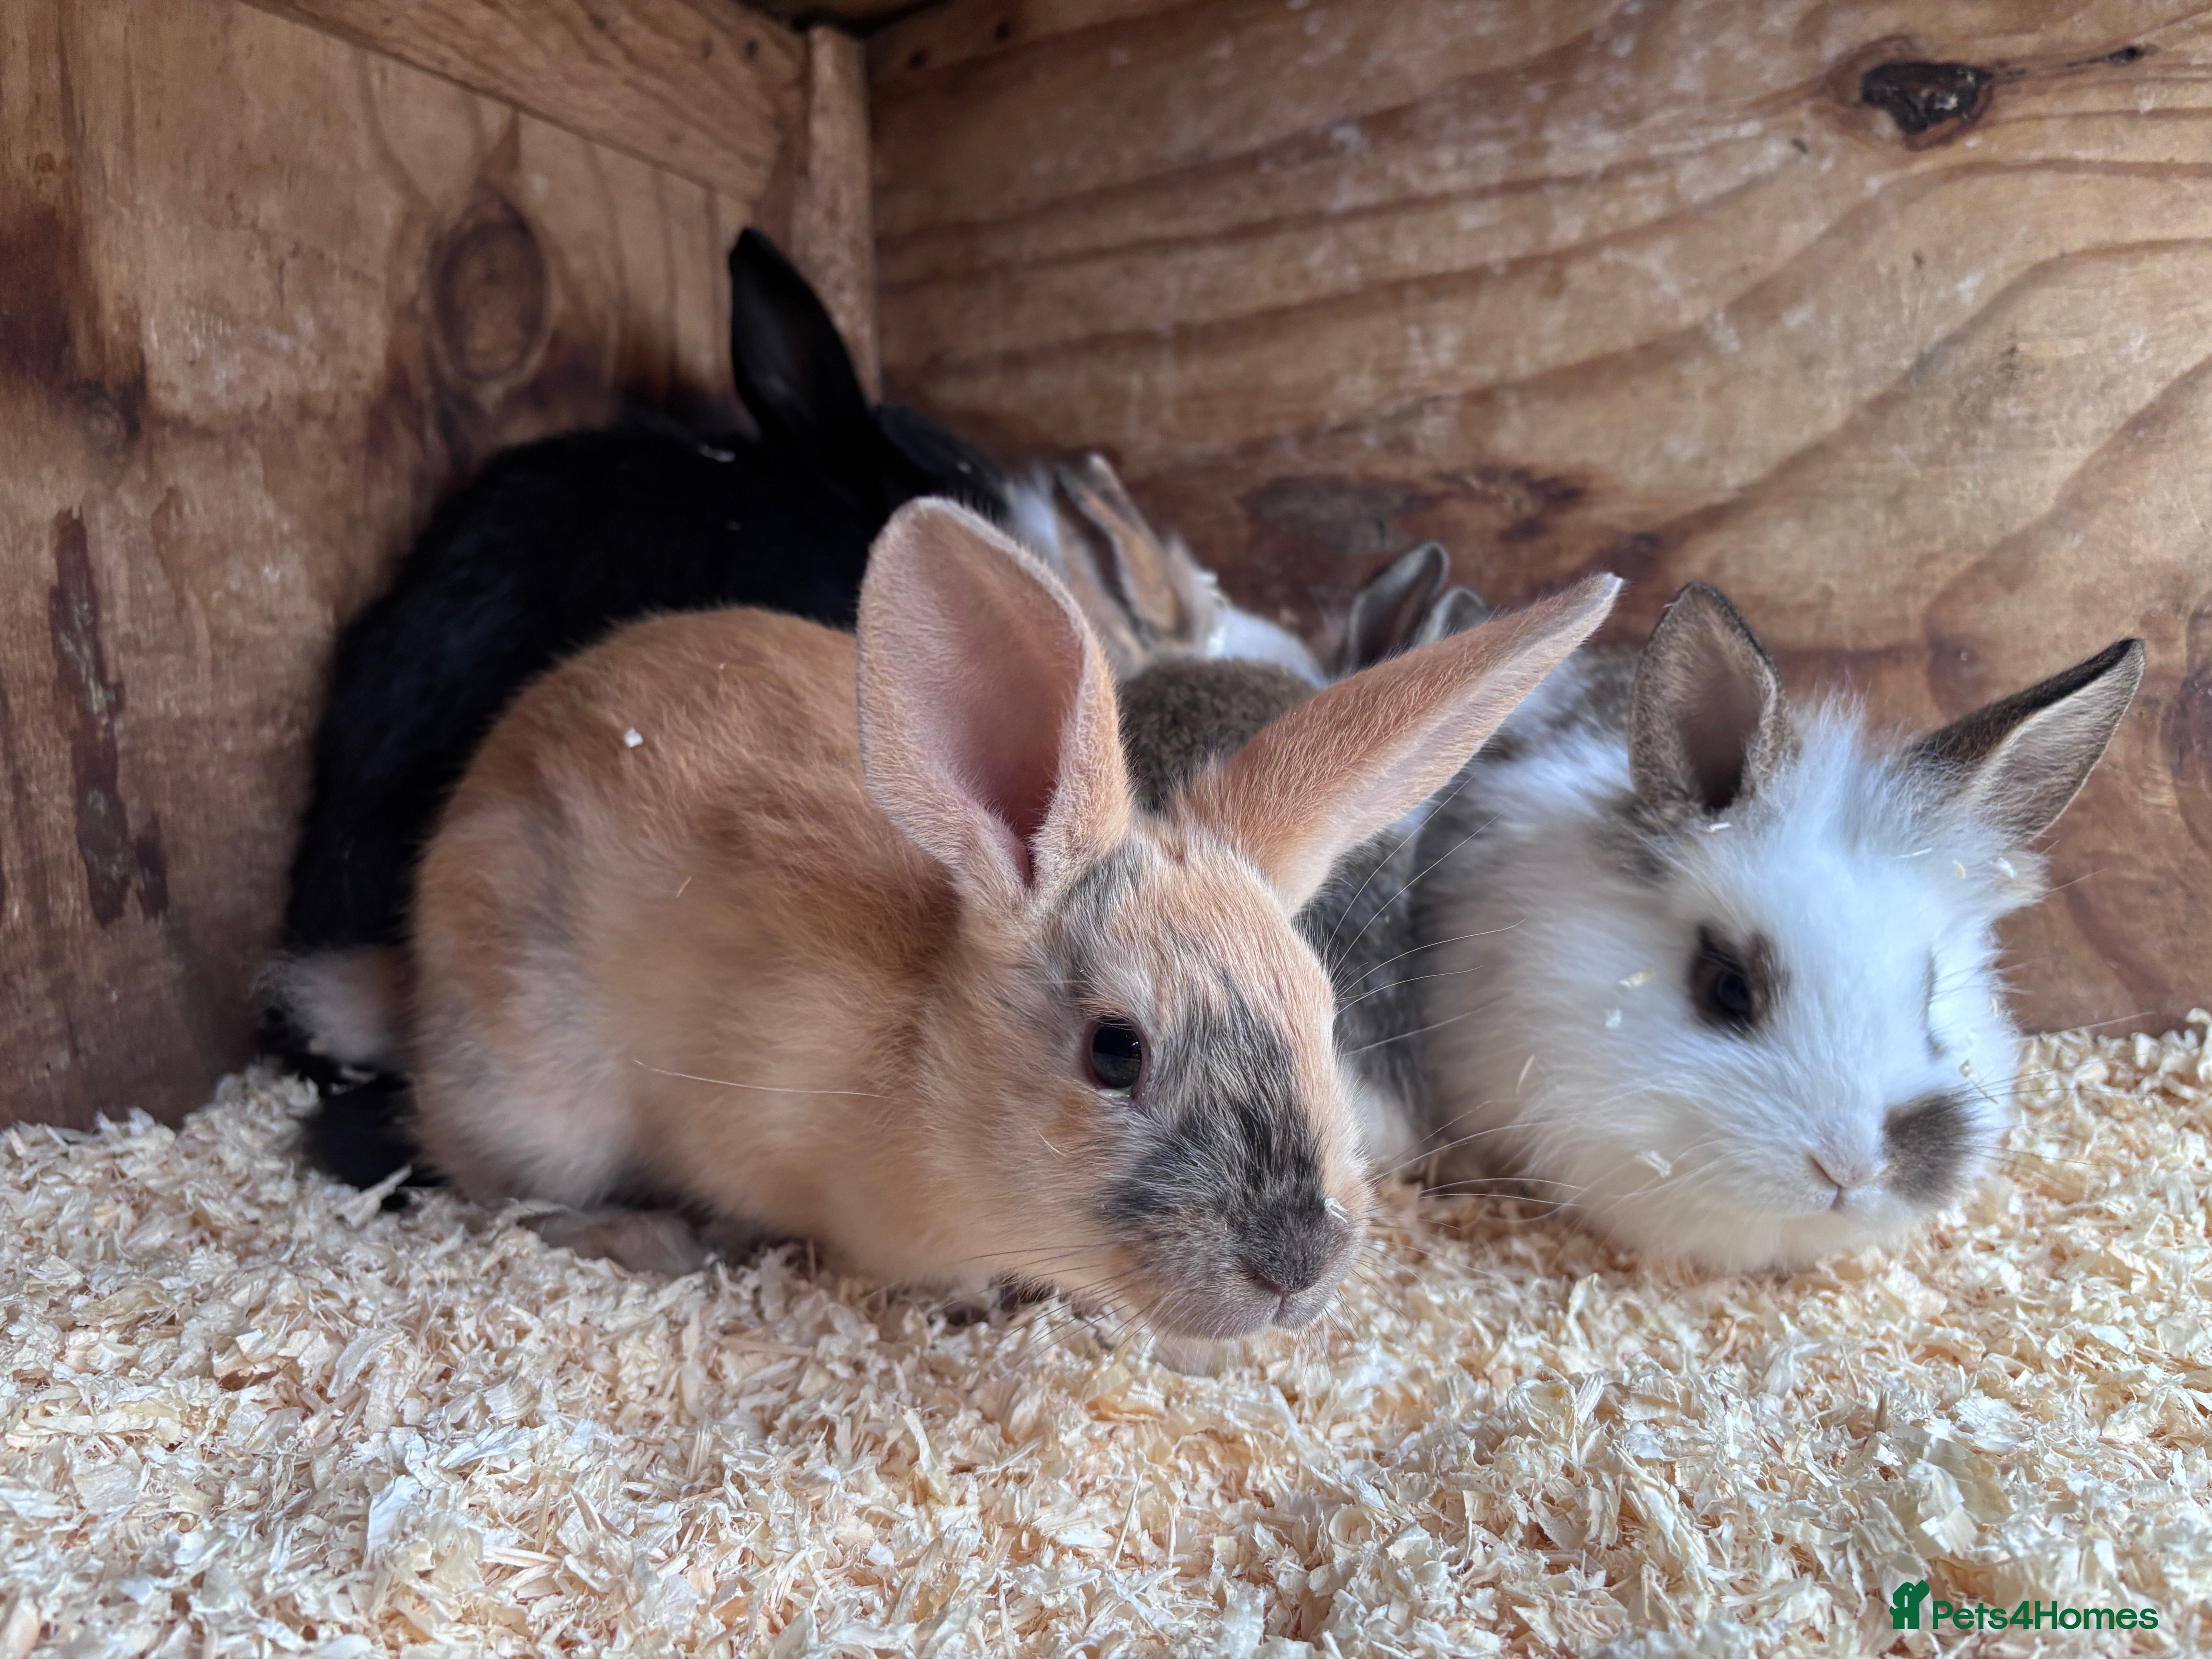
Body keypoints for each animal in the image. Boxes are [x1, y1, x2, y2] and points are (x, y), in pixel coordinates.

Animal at [288, 500, 1617, 1336]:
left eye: (1323, 1016)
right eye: (1114, 1051)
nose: (1294, 1267)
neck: (930, 1071)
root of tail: (414, 978)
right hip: (537, 1103)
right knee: (495, 1186)